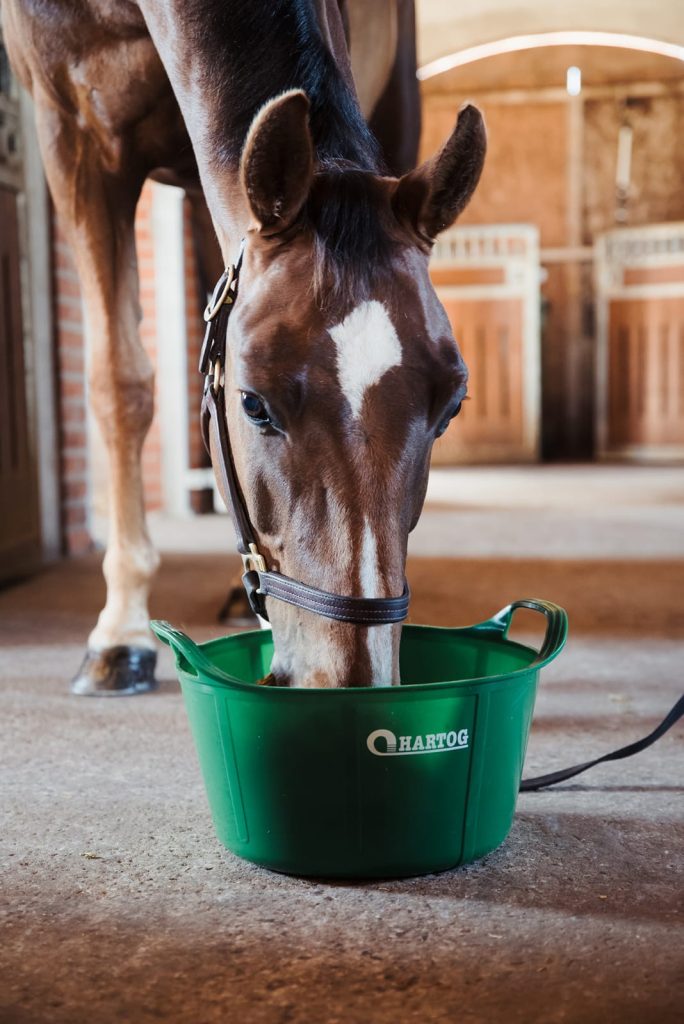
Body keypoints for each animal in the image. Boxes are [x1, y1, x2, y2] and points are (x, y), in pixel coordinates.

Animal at [3, 0, 485, 691]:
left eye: (450, 408)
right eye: (253, 404)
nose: (353, 681)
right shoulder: (75, 136)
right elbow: (118, 384)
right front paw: (120, 634)